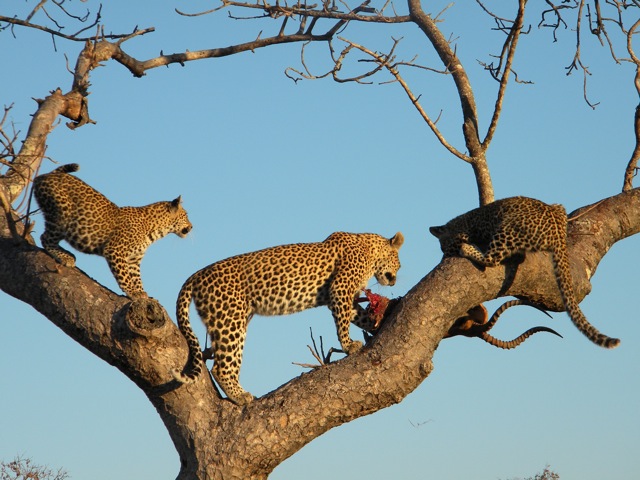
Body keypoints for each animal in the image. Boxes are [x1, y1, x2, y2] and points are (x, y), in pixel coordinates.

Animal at [33, 165, 192, 300]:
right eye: (185, 215)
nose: (191, 227)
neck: (156, 231)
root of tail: (48, 174)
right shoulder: (115, 250)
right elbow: (124, 276)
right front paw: (133, 292)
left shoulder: (134, 260)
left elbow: (136, 278)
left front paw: (141, 292)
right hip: (61, 217)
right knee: (45, 238)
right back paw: (65, 257)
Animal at [172, 231, 402, 404]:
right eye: (399, 265)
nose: (394, 281)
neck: (370, 250)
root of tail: (196, 275)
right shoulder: (340, 289)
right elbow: (343, 321)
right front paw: (348, 345)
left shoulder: (340, 297)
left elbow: (358, 316)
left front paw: (379, 319)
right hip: (230, 320)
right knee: (220, 367)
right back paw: (240, 396)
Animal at [430, 195, 620, 348]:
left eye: (443, 246)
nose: (444, 255)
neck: (462, 222)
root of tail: (558, 233)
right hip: (558, 208)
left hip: (506, 229)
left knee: (491, 259)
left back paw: (468, 249)